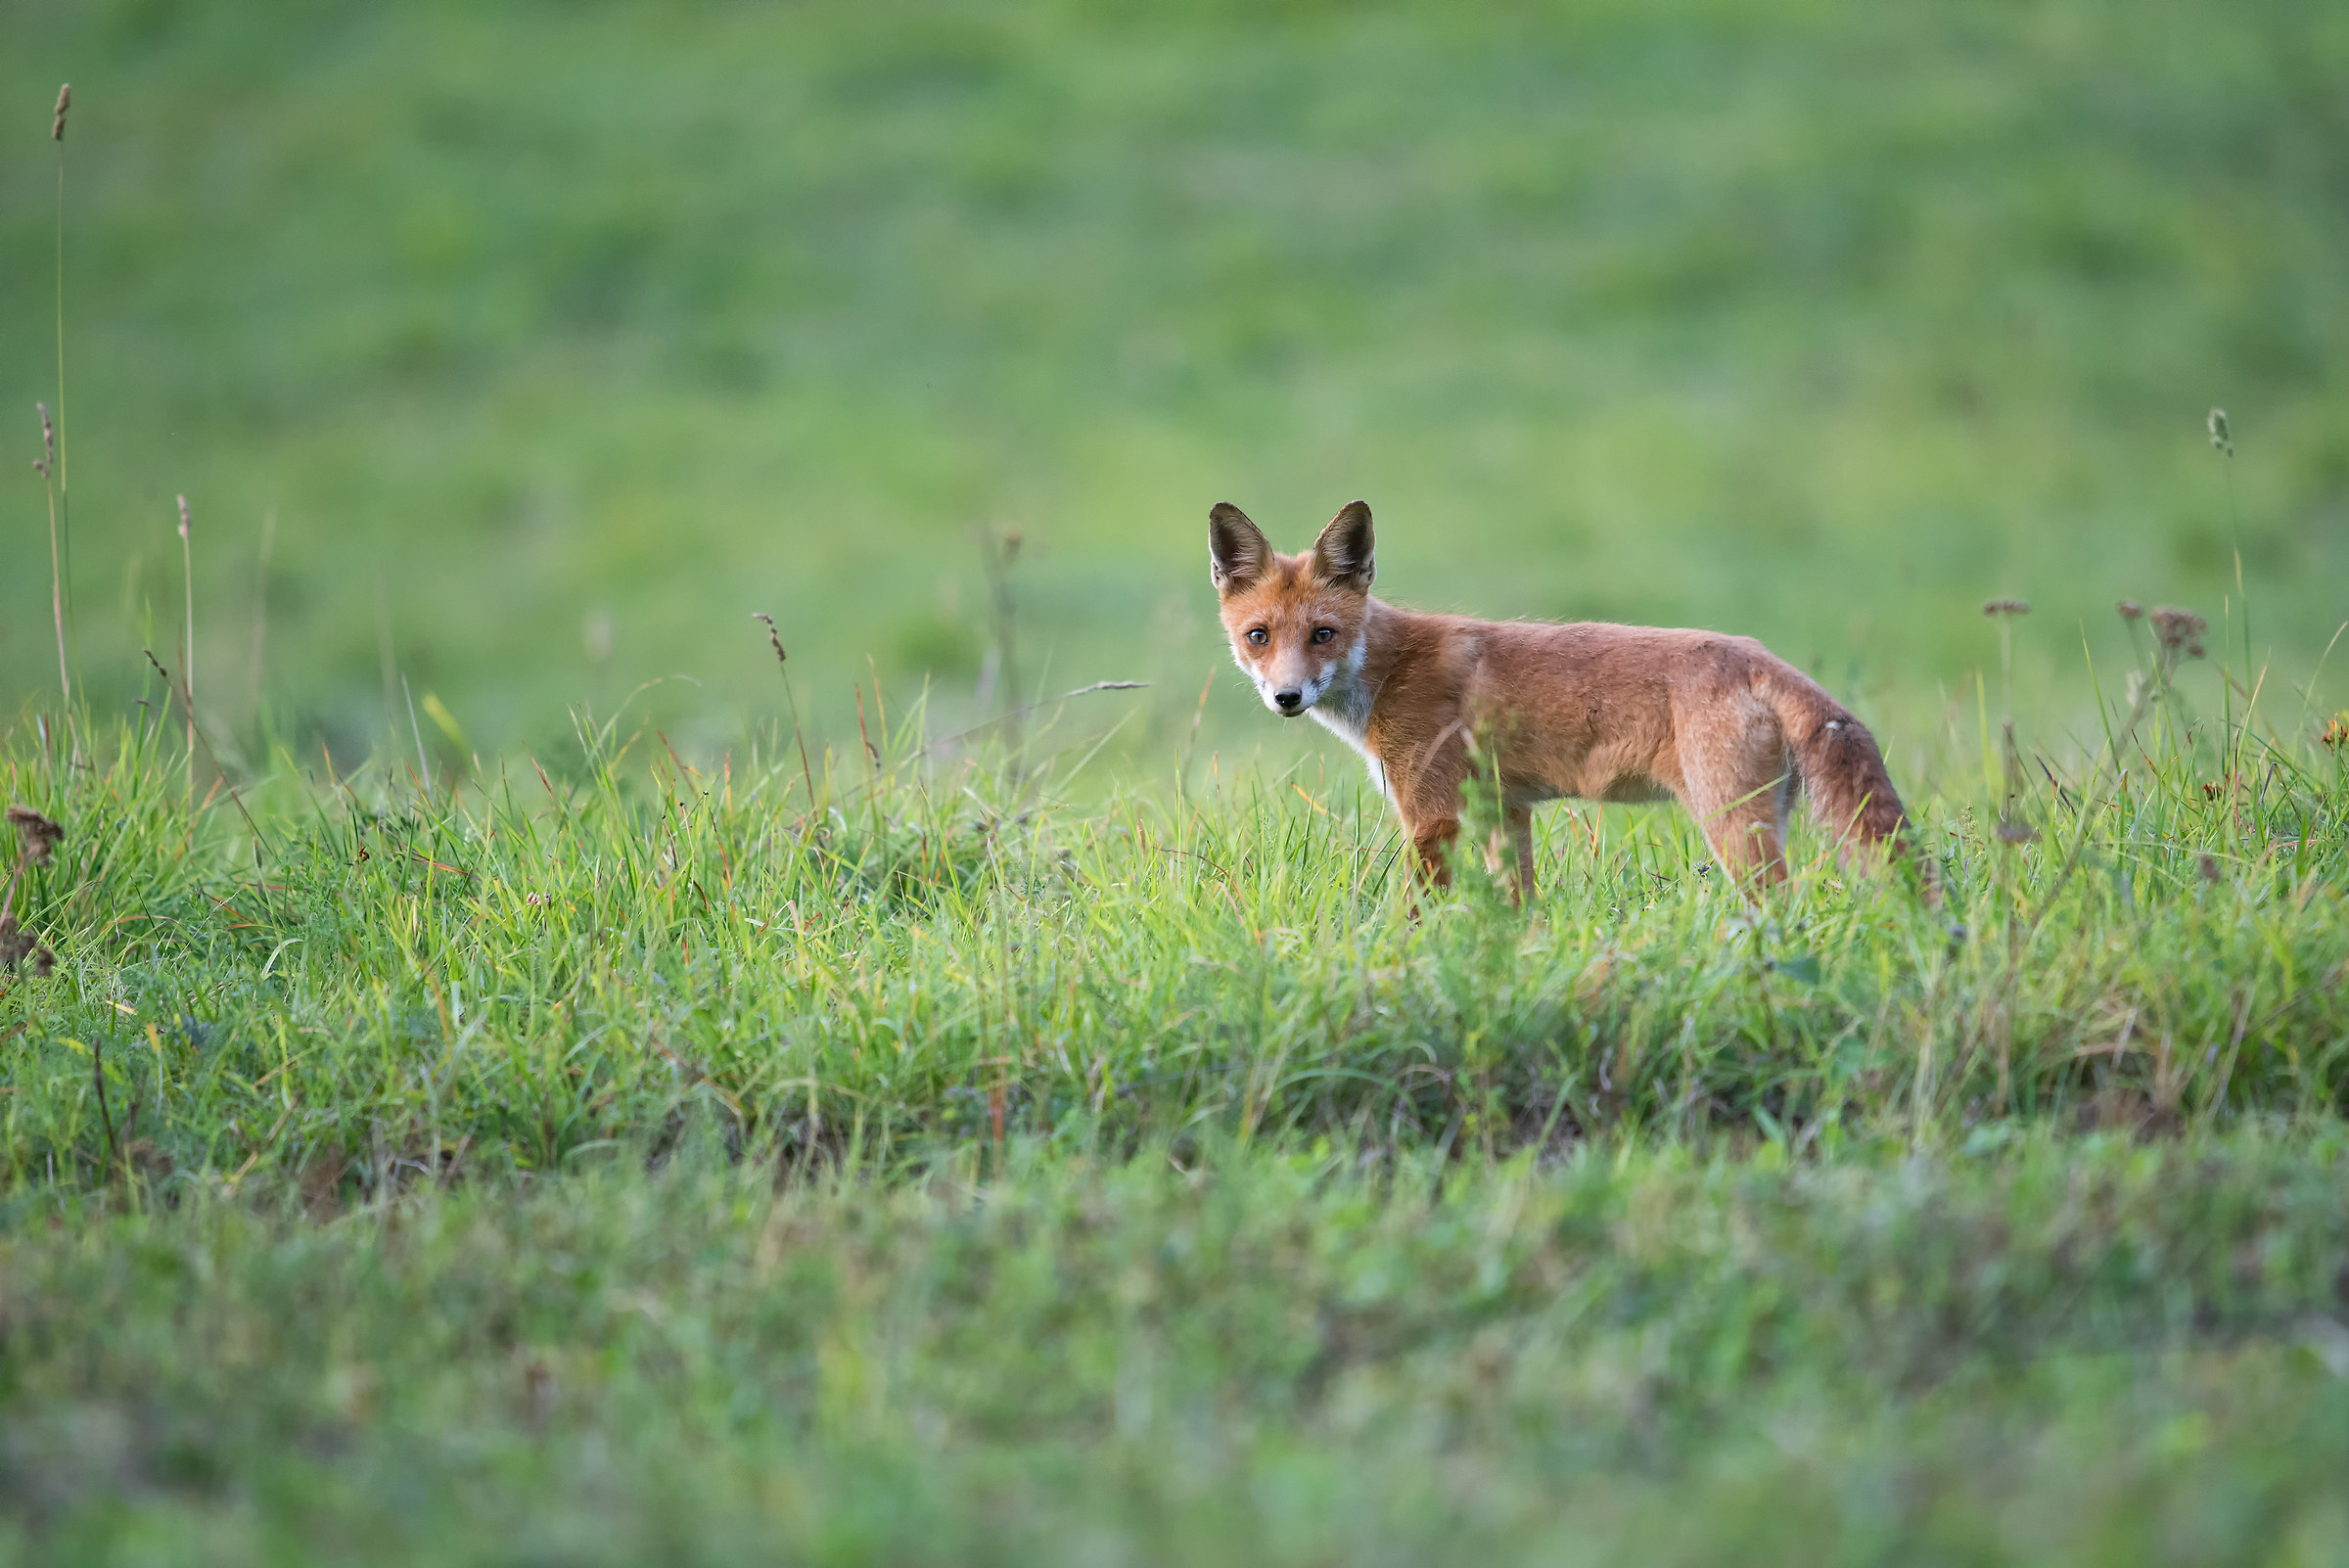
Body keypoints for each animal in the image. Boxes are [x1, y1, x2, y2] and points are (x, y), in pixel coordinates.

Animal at [1207, 499, 1925, 900]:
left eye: (1323, 634)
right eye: (1259, 636)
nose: (1287, 696)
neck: (1389, 671)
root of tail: (1764, 658)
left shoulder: (1433, 818)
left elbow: (1414, 919)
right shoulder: (1505, 812)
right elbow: (1521, 910)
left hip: (1730, 825)